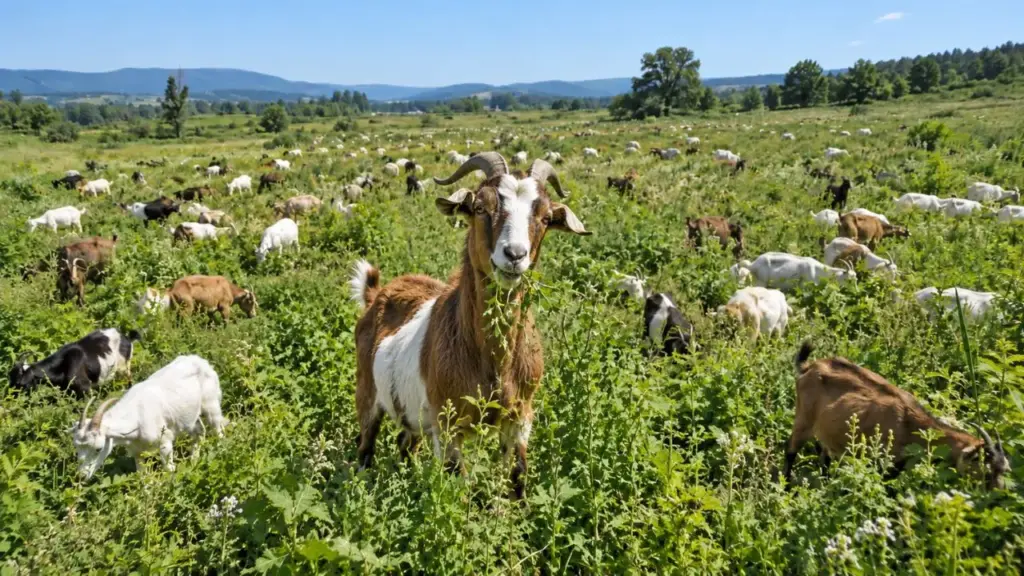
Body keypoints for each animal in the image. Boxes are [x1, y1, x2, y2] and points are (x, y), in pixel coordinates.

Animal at [9, 329, 140, 397]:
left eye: (20, 384)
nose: (11, 397)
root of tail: (127, 338)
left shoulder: (85, 387)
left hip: (124, 367)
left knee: (129, 379)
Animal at [70, 355, 227, 479]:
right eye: (77, 447)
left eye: (98, 448)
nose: (81, 476)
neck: (137, 418)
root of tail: (203, 362)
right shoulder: (137, 452)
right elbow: (142, 476)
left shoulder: (165, 442)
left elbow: (169, 469)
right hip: (190, 418)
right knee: (200, 431)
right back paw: (194, 461)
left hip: (211, 404)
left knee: (217, 430)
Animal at [349, 152, 589, 498]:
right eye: (480, 208)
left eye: (545, 218)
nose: (514, 255)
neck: (491, 361)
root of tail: (375, 295)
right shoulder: (448, 423)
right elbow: (457, 489)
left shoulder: (520, 417)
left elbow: (517, 477)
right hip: (367, 392)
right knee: (366, 446)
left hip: (412, 413)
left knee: (406, 444)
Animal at [784, 343, 1010, 489]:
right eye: (986, 473)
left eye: (1004, 471)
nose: (998, 496)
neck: (910, 425)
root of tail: (809, 367)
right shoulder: (884, 463)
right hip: (803, 418)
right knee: (791, 450)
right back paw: (786, 488)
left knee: (824, 455)